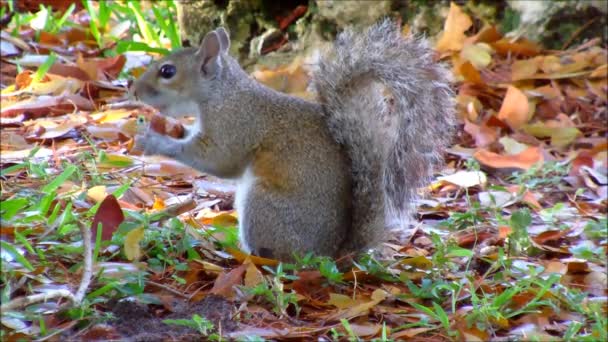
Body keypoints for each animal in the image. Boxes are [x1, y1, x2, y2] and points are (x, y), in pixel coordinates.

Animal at [134, 20, 456, 260]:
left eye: (167, 71)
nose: (133, 91)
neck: (221, 93)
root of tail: (331, 254)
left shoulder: (235, 124)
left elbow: (217, 160)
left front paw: (155, 141)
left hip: (263, 206)